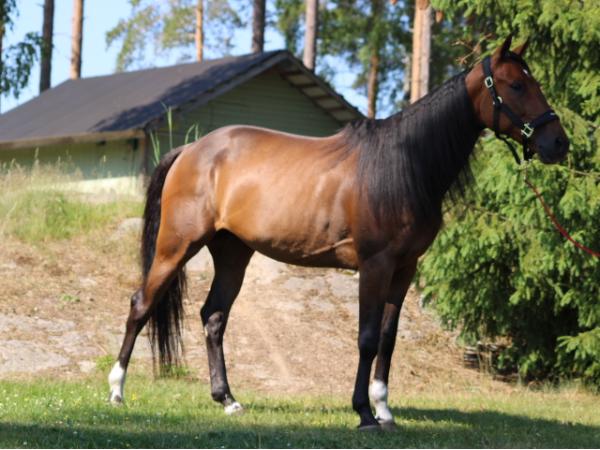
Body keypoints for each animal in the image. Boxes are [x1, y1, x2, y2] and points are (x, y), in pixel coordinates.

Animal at [107, 35, 569, 430]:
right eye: (515, 85)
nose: (558, 143)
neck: (402, 166)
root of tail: (192, 149)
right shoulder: (375, 266)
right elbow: (366, 338)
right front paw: (364, 413)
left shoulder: (405, 270)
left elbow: (388, 338)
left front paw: (385, 410)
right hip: (176, 245)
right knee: (140, 304)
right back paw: (116, 390)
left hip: (233, 252)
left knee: (214, 317)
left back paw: (227, 400)